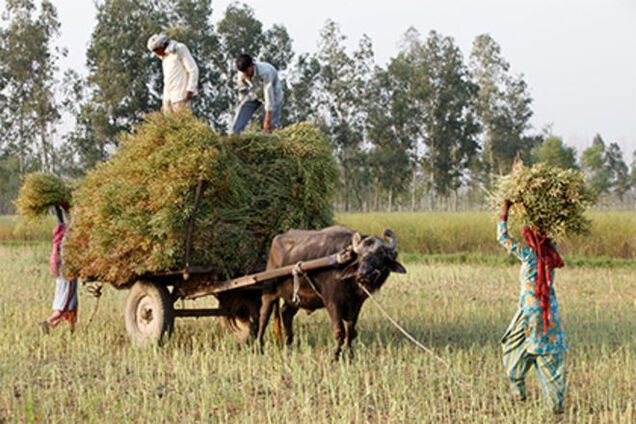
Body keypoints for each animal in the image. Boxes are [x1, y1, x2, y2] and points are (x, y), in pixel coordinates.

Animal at [256, 227, 404, 360]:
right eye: (360, 255)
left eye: (380, 253)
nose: (363, 274)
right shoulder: (332, 302)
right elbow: (339, 331)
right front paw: (335, 356)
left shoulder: (356, 304)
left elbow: (351, 331)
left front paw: (349, 355)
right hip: (268, 293)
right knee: (263, 317)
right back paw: (259, 346)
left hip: (294, 299)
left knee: (285, 313)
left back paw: (289, 345)